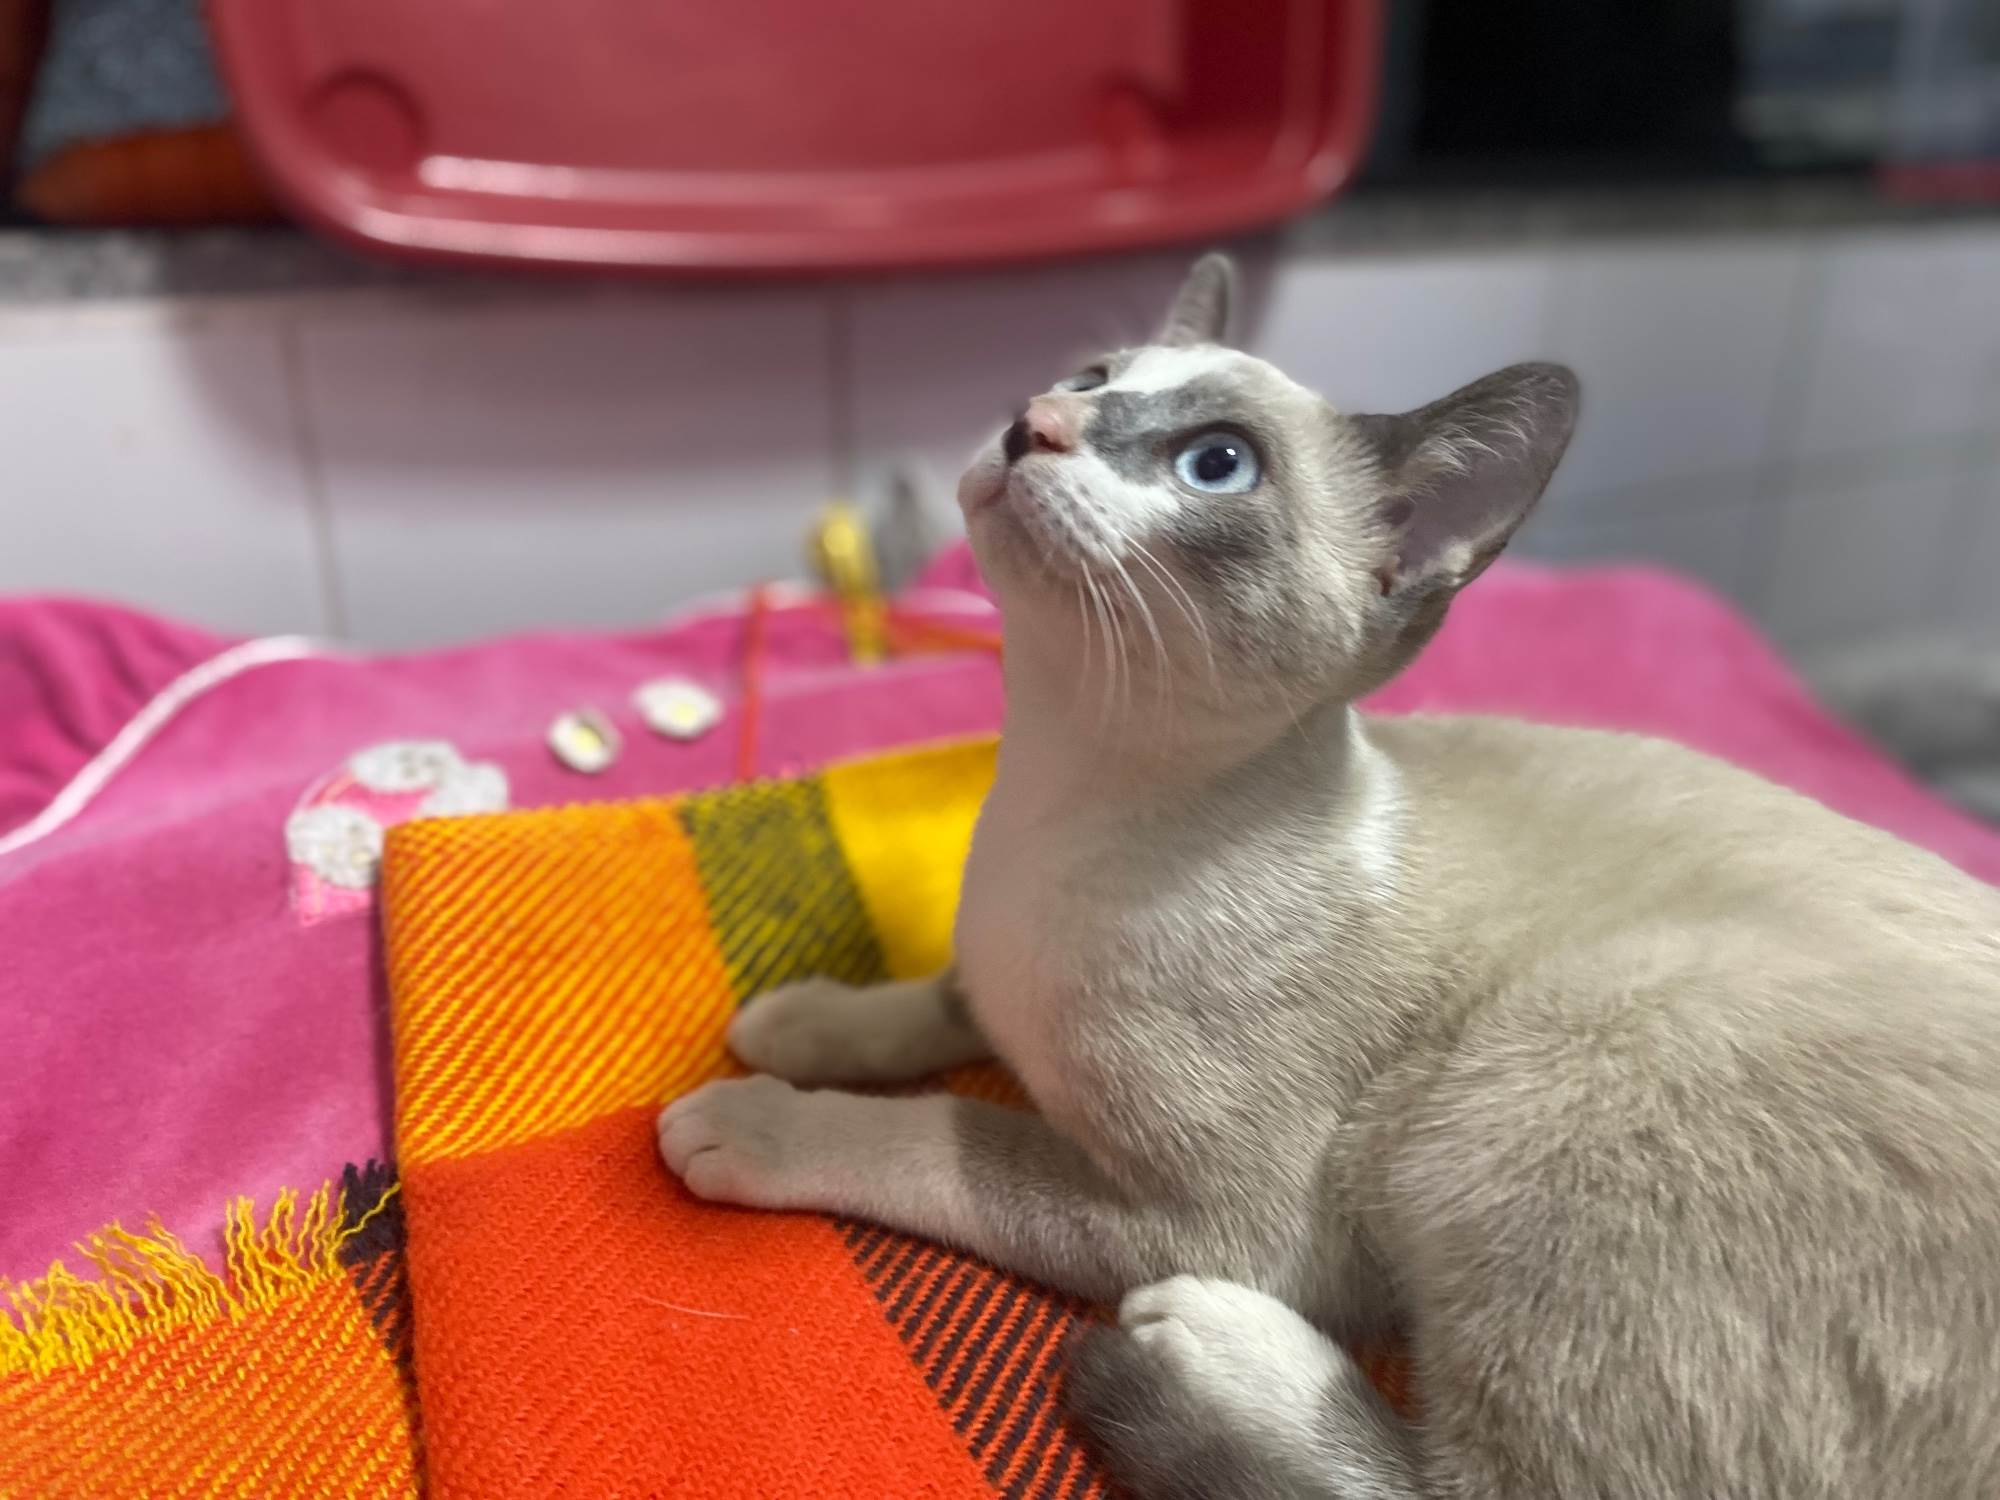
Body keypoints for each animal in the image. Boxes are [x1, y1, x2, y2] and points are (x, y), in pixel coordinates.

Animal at [658, 254, 2000, 1499]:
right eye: (1092, 379)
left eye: (1214, 466)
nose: (1032, 420)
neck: (1054, 800)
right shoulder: (988, 966)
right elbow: (929, 1002)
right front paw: (797, 1021)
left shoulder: (1207, 1214)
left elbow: (947, 1133)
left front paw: (746, 1117)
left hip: (1557, 1053)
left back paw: (1200, 1352)